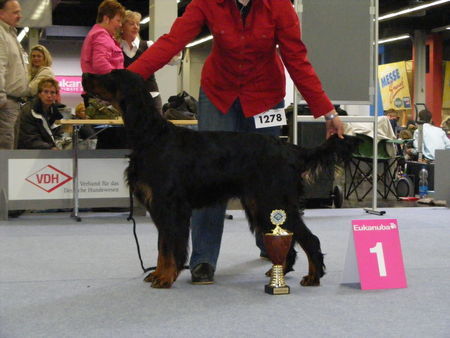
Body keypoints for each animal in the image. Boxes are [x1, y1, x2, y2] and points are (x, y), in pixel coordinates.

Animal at [83, 70, 358, 290]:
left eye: (110, 75)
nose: (85, 75)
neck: (151, 135)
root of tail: (290, 149)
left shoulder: (171, 207)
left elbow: (170, 247)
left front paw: (165, 277)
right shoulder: (161, 208)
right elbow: (163, 246)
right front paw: (159, 274)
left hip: (274, 202)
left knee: (310, 238)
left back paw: (313, 276)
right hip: (260, 205)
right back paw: (279, 271)